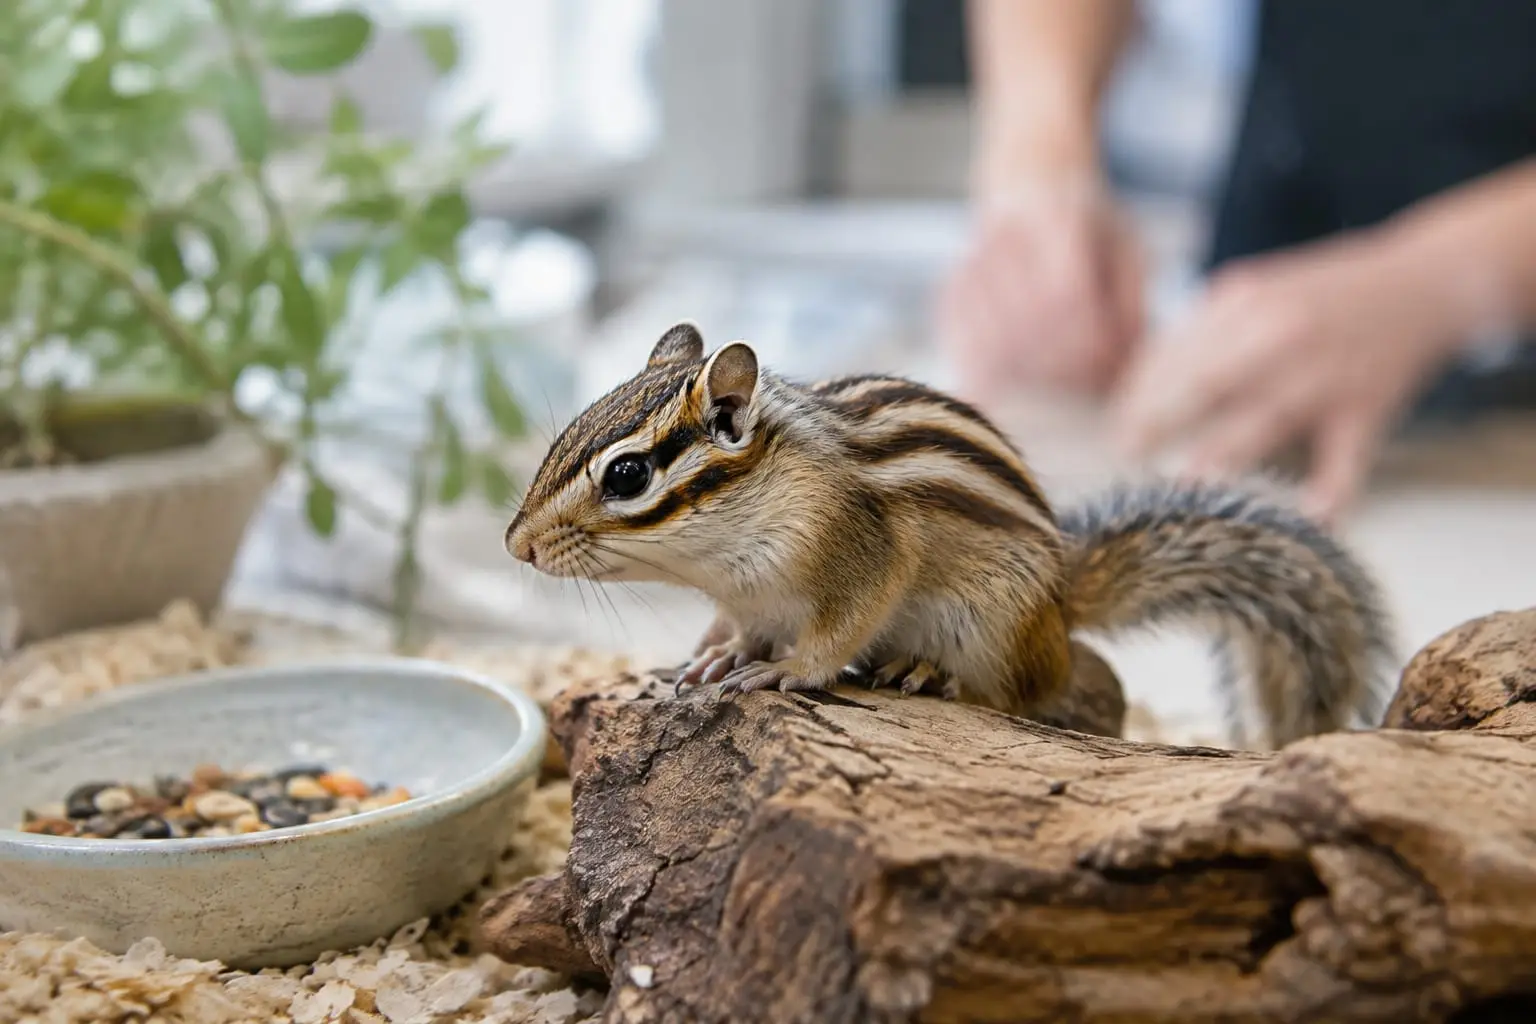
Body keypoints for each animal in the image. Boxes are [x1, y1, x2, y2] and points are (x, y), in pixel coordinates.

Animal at [505, 322, 1398, 747]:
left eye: (627, 475)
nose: (516, 544)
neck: (723, 556)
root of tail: (1060, 603)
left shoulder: (863, 552)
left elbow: (839, 631)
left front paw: (782, 670)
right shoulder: (747, 596)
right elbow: (736, 628)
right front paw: (714, 656)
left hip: (992, 625)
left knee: (1022, 694)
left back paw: (933, 674)